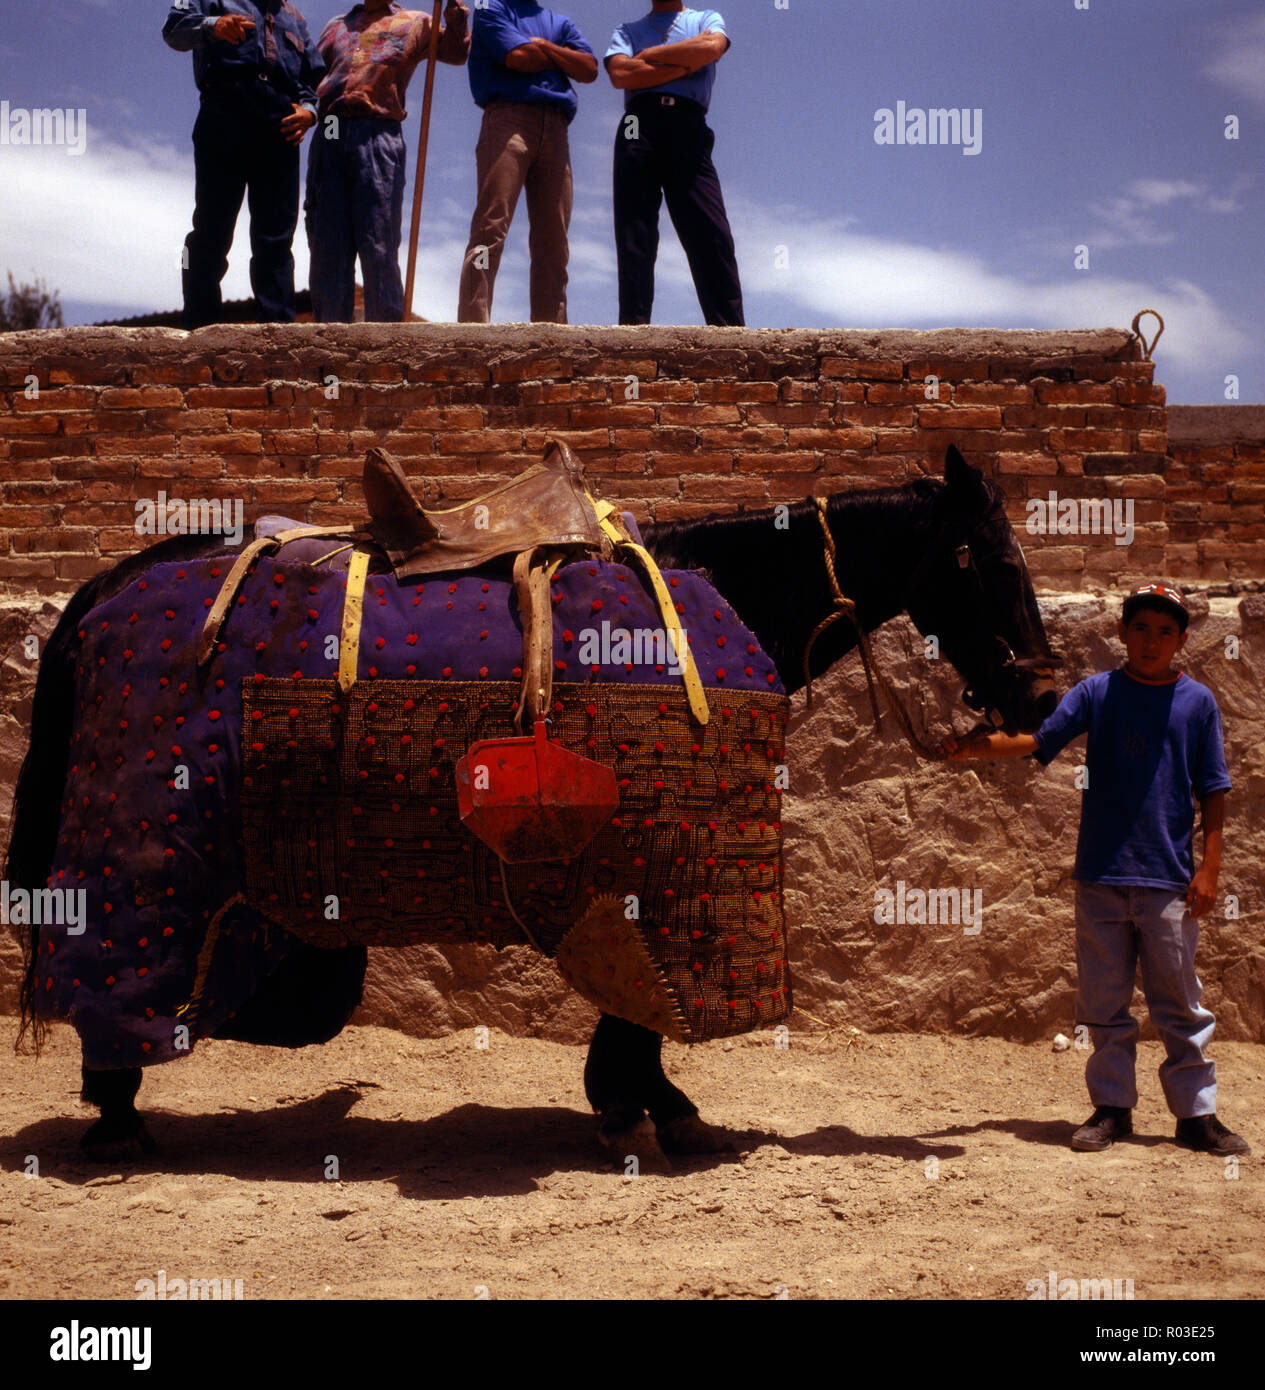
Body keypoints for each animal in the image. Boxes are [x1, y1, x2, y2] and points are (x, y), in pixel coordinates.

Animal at [6, 445, 1060, 1166]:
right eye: (997, 565)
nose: (1042, 700)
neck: (730, 591)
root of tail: (108, 585)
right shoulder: (659, 867)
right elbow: (642, 1001)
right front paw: (650, 1107)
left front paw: (640, 1101)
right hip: (149, 855)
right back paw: (115, 1116)